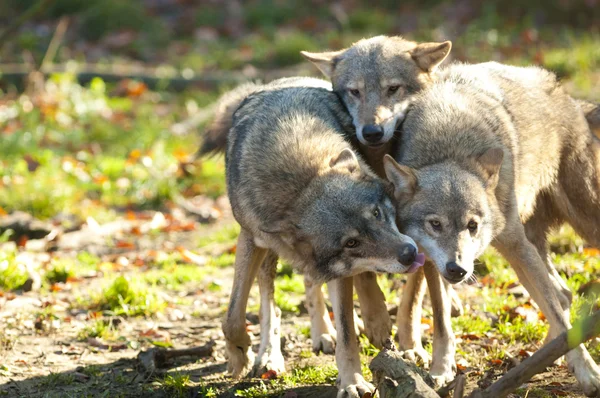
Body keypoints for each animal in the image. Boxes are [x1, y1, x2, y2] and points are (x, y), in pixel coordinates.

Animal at [203, 76, 426, 396]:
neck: (299, 183)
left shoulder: (342, 272)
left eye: (376, 213)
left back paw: (369, 323)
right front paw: (237, 355)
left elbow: (347, 332)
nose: (410, 253)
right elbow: (233, 314)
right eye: (351, 242)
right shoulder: (250, 238)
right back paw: (273, 354)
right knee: (274, 301)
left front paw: (352, 381)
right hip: (271, 253)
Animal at [382, 62, 600, 394]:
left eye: (472, 225)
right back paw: (542, 357)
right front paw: (441, 369)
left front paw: (588, 373)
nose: (458, 269)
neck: (449, 143)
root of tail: (572, 99)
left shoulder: (516, 245)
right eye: (435, 225)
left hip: (576, 227)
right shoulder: (432, 261)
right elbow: (442, 321)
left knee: (559, 298)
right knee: (564, 294)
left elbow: (559, 317)